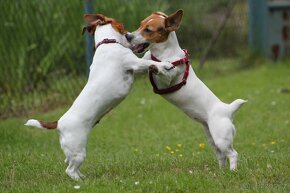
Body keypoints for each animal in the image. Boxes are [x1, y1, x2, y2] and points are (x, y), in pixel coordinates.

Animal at [24, 13, 172, 179]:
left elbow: (147, 61)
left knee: (67, 162)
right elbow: (149, 63)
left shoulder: (134, 69)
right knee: (69, 170)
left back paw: (81, 176)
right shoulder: (134, 64)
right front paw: (165, 64)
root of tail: (59, 123)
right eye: (121, 25)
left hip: (72, 150)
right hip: (78, 151)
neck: (106, 43)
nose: (129, 35)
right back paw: (80, 180)